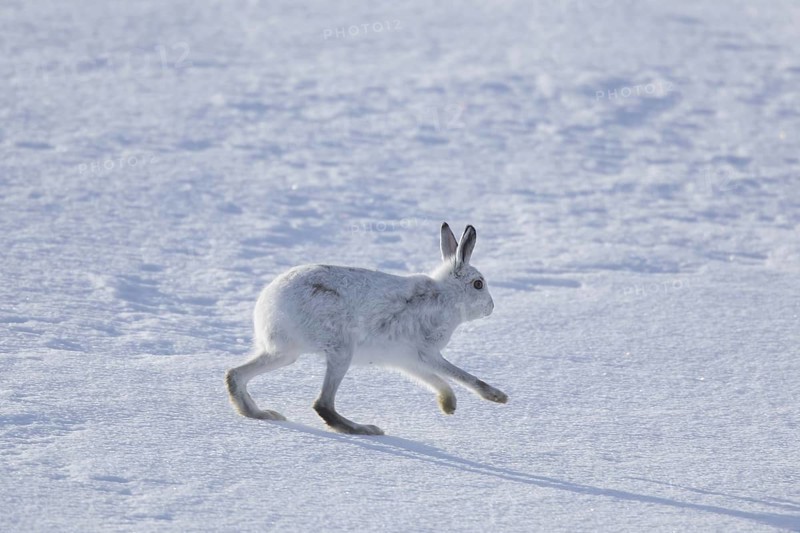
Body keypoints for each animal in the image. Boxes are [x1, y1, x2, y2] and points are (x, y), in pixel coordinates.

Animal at [224, 222, 508, 435]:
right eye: (478, 284)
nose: (491, 307)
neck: (445, 296)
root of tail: (267, 309)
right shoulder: (426, 352)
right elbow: (460, 375)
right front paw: (497, 397)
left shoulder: (407, 360)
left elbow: (435, 380)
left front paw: (448, 404)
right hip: (340, 350)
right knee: (323, 404)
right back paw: (364, 429)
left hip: (285, 353)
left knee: (235, 374)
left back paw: (259, 413)